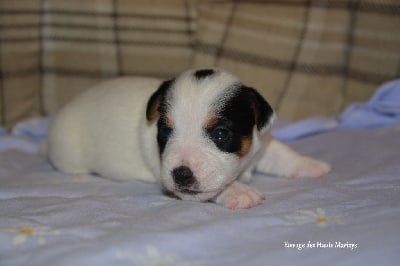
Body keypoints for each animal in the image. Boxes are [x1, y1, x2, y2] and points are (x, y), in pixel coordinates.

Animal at [47, 68, 332, 210]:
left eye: (220, 134)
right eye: (165, 132)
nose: (181, 174)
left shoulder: (260, 144)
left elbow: (281, 153)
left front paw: (310, 165)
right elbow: (215, 188)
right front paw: (238, 191)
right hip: (68, 153)